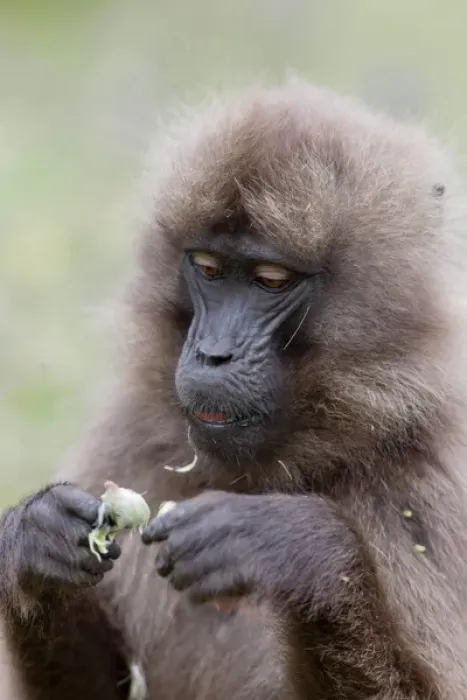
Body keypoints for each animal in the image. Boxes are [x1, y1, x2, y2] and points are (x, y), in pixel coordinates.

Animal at [1, 77, 467, 700]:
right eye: (207, 268)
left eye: (271, 281)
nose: (212, 354)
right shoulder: (135, 435)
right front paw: (38, 542)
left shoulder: (429, 486)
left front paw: (294, 551)